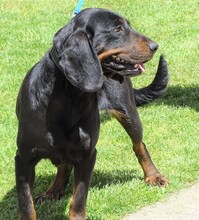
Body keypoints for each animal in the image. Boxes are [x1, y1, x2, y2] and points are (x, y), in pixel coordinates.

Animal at [14, 7, 169, 219]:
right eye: (117, 29)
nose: (155, 46)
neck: (69, 96)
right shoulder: (24, 158)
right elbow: (26, 204)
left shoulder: (87, 155)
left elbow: (78, 199)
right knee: (63, 165)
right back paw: (54, 190)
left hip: (128, 113)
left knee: (139, 145)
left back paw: (153, 175)